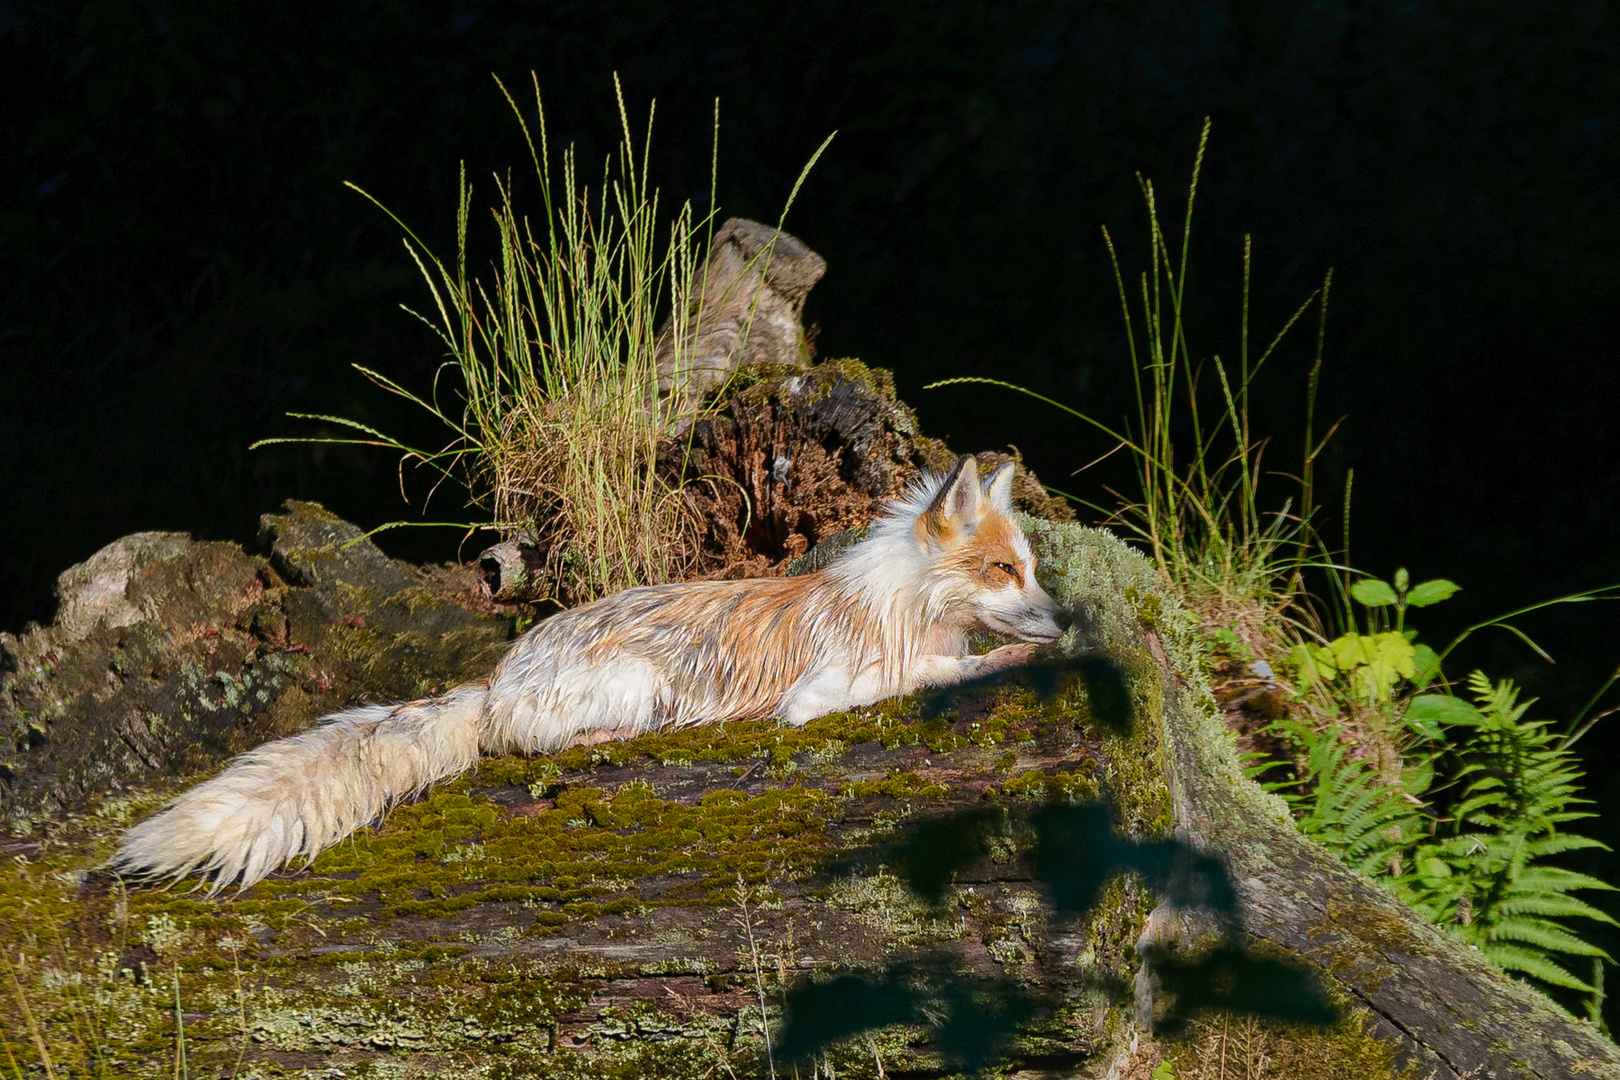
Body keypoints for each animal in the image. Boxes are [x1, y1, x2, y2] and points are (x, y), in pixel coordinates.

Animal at [117, 453, 1075, 887]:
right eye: (1004, 571)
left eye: (1029, 569)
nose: (1064, 619)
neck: (898, 606)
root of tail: (499, 671)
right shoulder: (818, 697)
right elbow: (932, 677)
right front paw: (1011, 656)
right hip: (639, 686)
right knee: (528, 747)